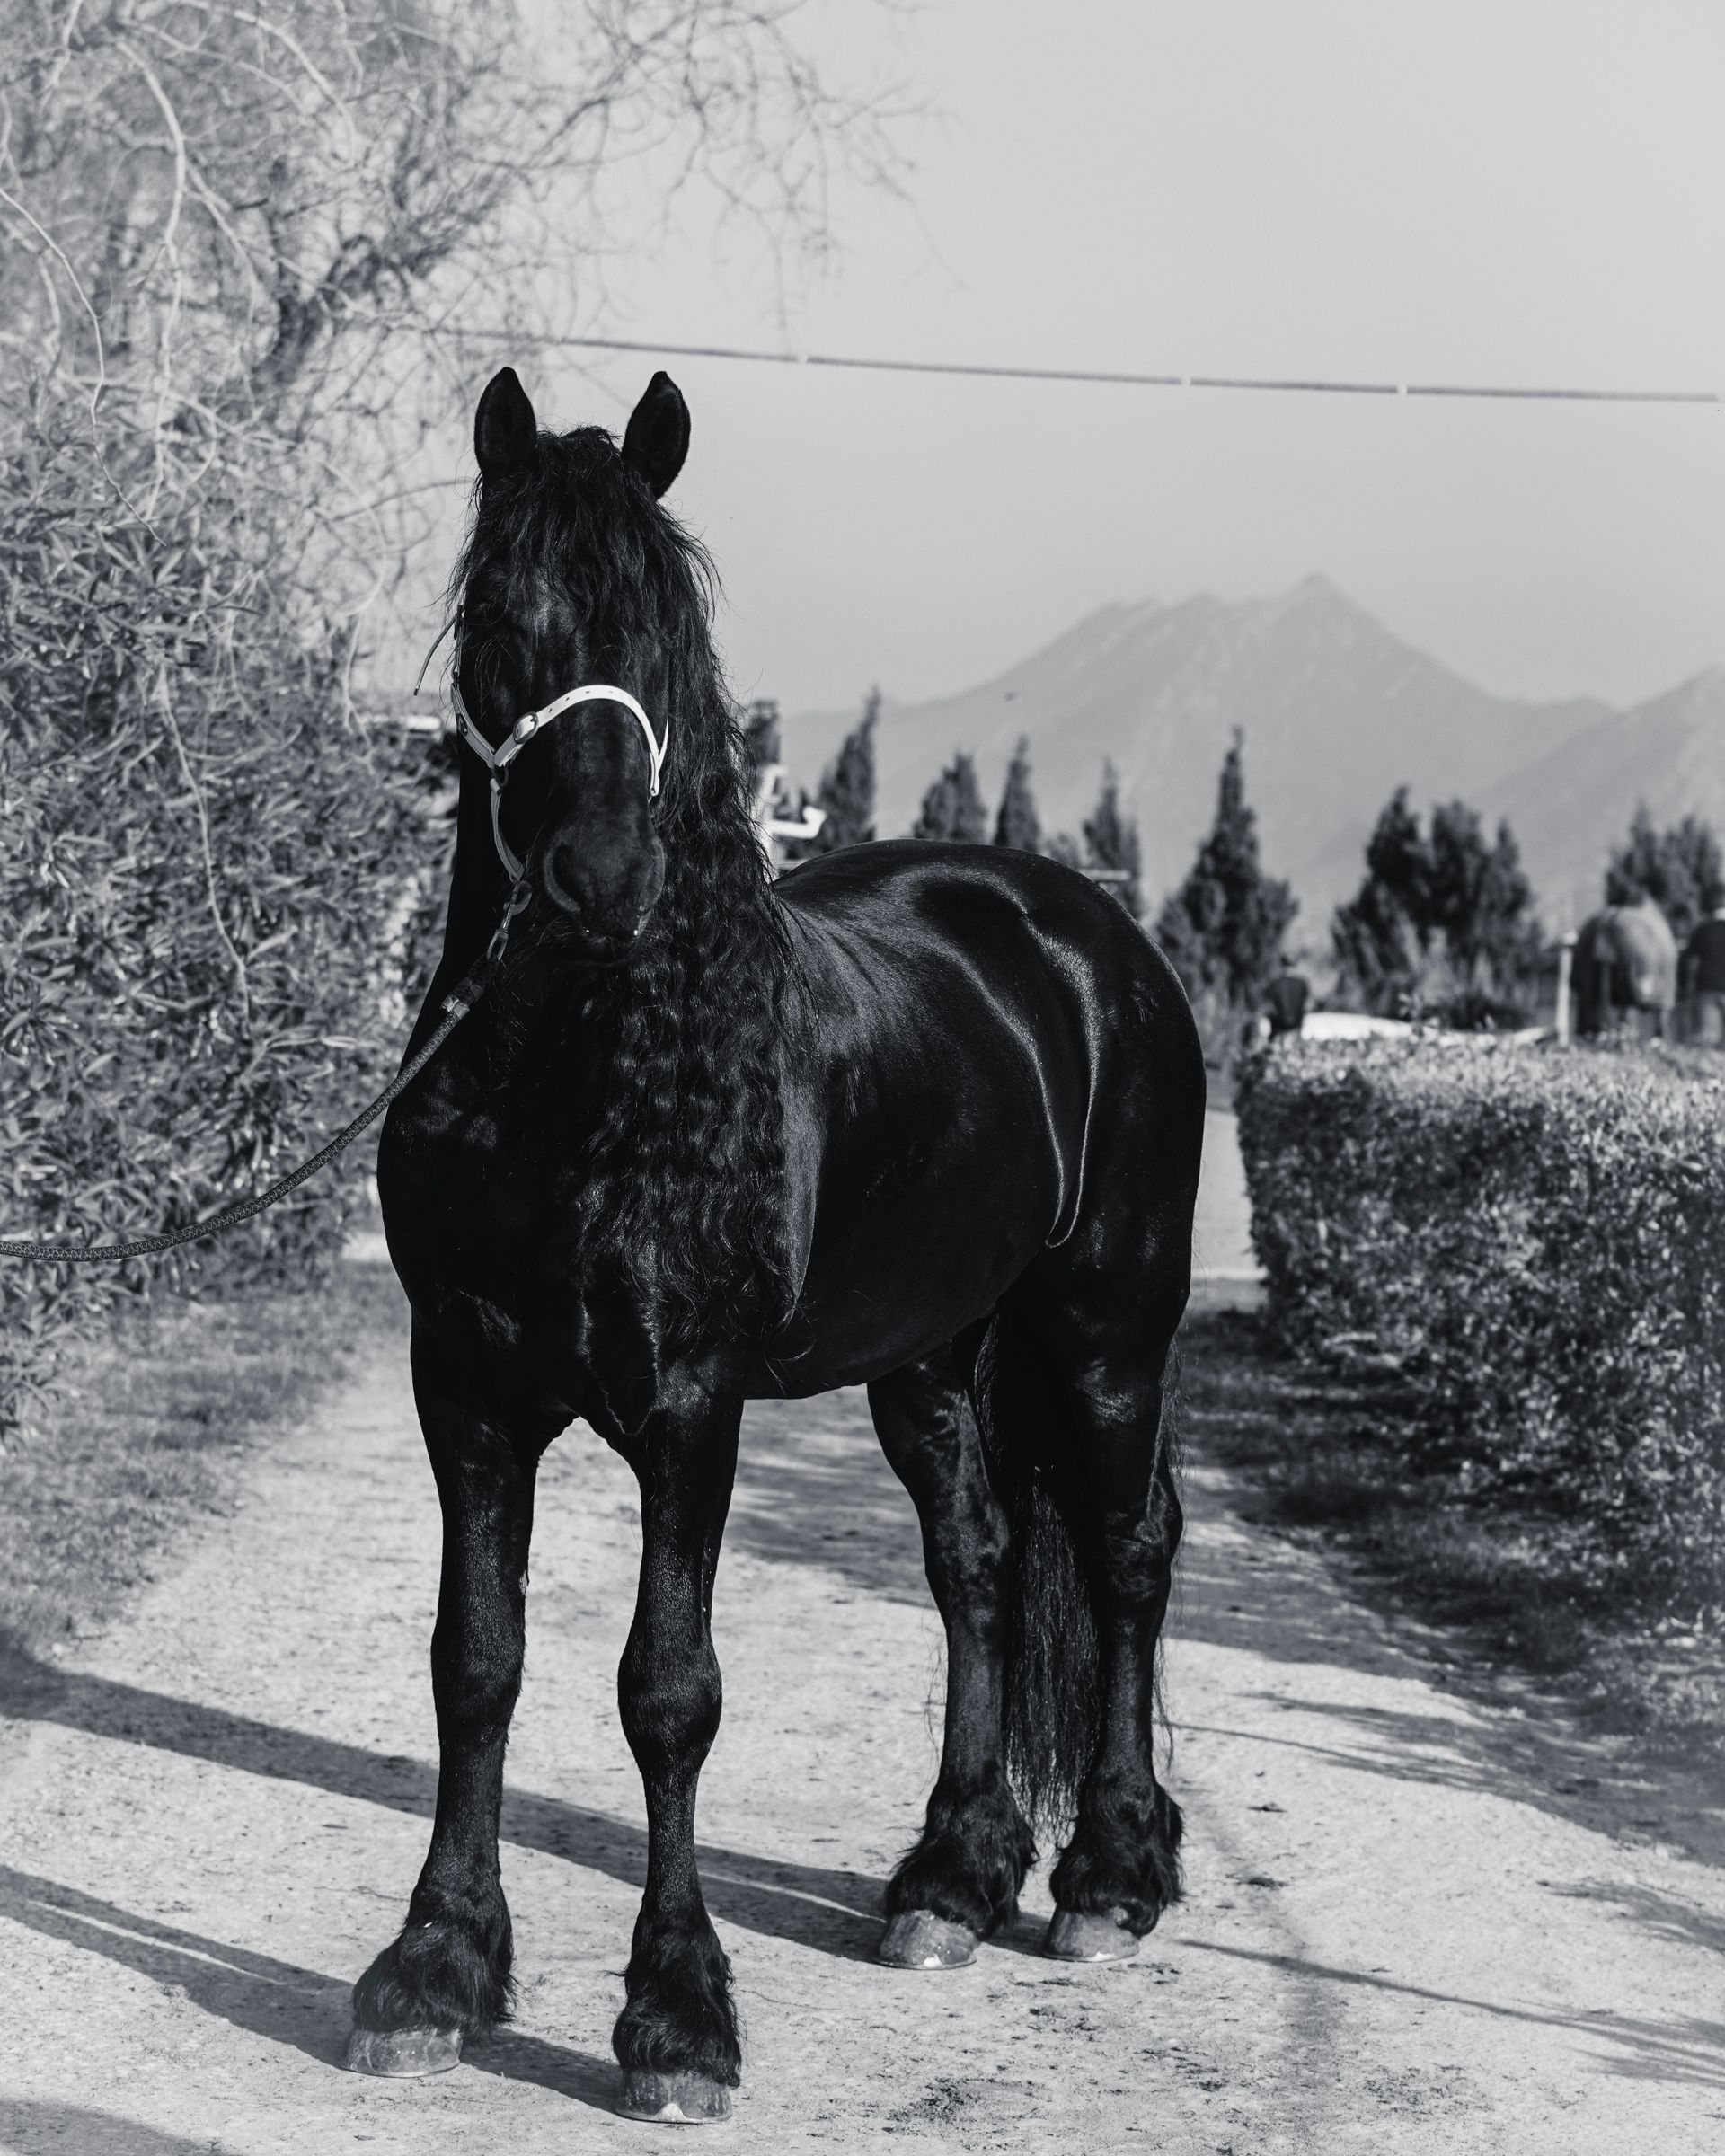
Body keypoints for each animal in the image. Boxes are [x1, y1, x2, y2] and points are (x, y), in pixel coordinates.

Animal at [353, 365, 1206, 2123]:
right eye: (503, 619)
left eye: (669, 632)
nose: (602, 881)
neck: (567, 1076)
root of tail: (1098, 939)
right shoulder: (460, 1386)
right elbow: (476, 1662)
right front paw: (435, 1970)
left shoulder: (692, 1407)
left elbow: (668, 1694)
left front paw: (677, 2021)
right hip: (938, 1365)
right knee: (982, 1567)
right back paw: (954, 1880)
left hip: (1106, 1336)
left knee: (1127, 1554)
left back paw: (1108, 1877)